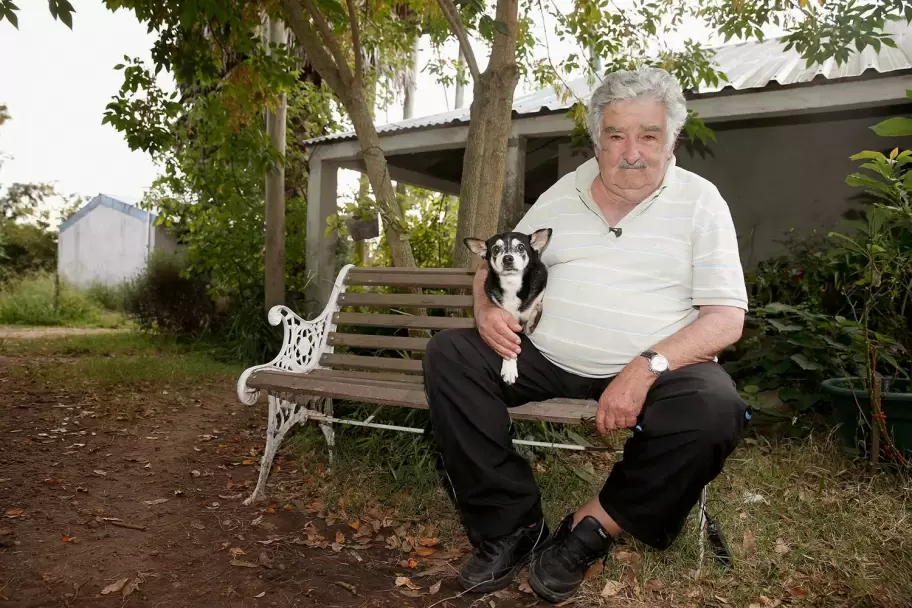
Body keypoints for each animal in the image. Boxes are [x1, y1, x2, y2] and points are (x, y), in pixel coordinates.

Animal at [464, 228, 548, 384]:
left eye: (521, 247)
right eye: (496, 249)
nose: (507, 258)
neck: (511, 285)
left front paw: (533, 317)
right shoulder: (507, 324)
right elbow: (511, 346)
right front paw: (509, 368)